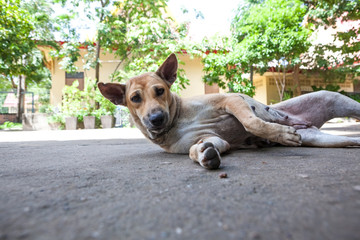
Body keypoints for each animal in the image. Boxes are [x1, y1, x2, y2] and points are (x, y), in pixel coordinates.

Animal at [97, 53, 360, 170]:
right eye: (135, 98)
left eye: (160, 90)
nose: (156, 118)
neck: (177, 120)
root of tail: (305, 125)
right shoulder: (214, 138)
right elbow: (201, 147)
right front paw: (203, 154)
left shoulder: (231, 100)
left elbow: (253, 122)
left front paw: (280, 133)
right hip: (323, 138)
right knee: (351, 141)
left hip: (336, 99)